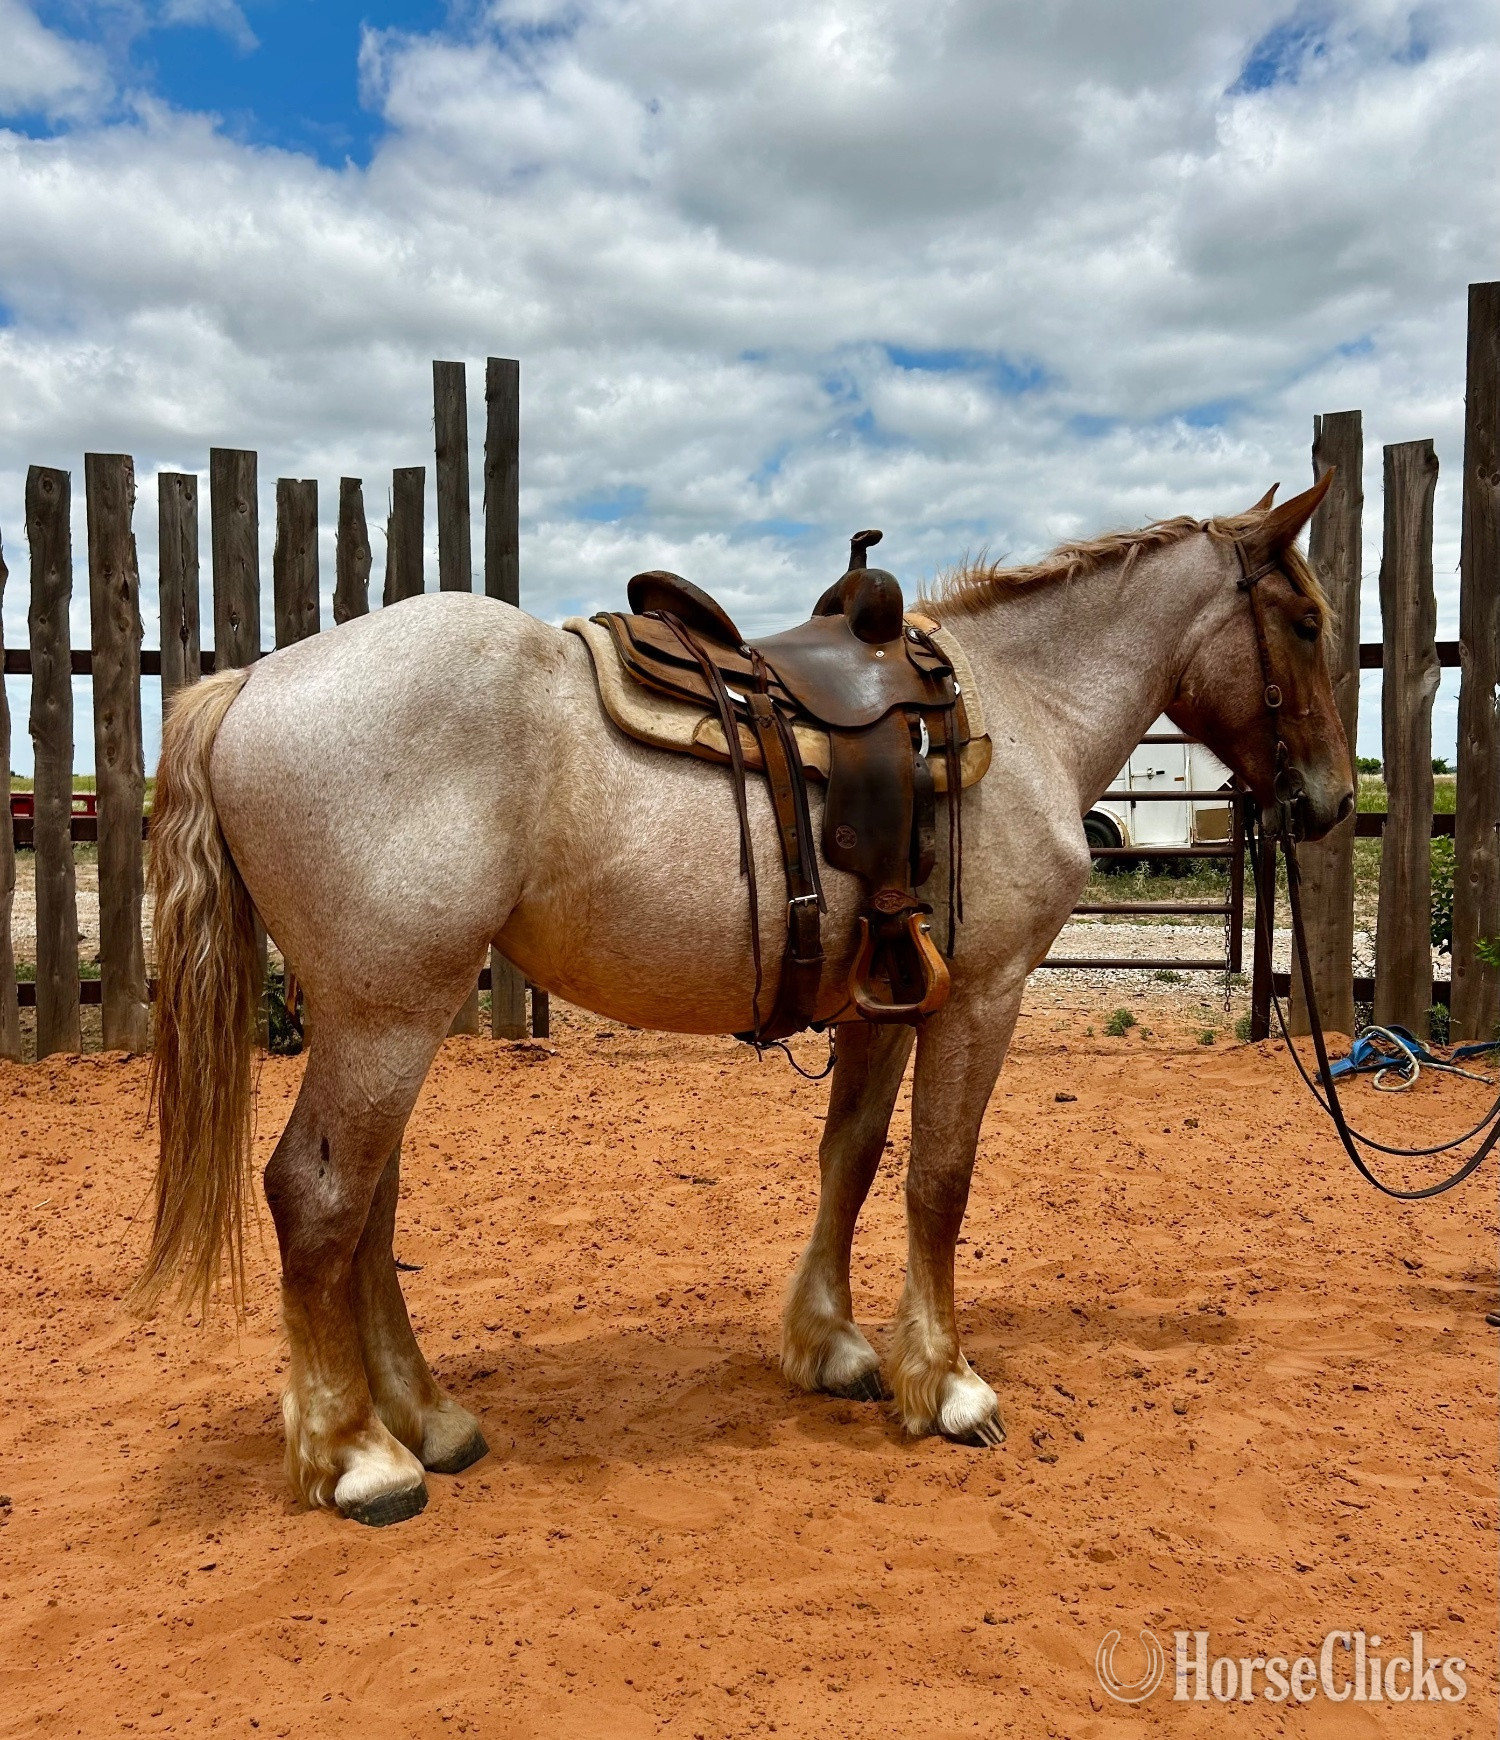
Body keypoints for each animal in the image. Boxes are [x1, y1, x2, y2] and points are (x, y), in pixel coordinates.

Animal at [133, 475, 1351, 1526]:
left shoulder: (883, 1003)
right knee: (319, 1200)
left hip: (386, 1016)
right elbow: (940, 1181)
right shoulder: (981, 997)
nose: (1332, 801)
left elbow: (852, 1159)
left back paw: (427, 1420)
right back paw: (357, 1457)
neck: (1022, 709)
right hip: (387, 1013)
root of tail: (252, 685)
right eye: (1303, 620)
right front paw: (949, 1385)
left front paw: (836, 1349)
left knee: (369, 1208)